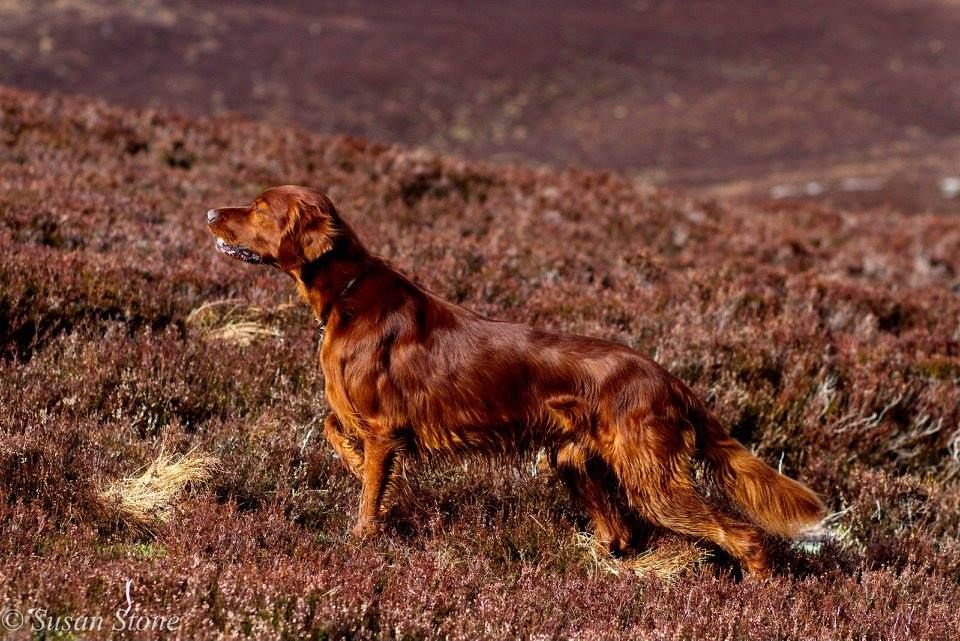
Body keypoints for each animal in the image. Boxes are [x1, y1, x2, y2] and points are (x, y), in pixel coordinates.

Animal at [210, 185, 824, 576]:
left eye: (261, 207)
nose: (212, 212)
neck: (347, 293)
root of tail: (668, 378)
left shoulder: (385, 427)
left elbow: (366, 487)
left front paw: (364, 535)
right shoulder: (371, 423)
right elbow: (335, 430)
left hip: (652, 479)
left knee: (743, 534)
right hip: (574, 461)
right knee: (620, 533)